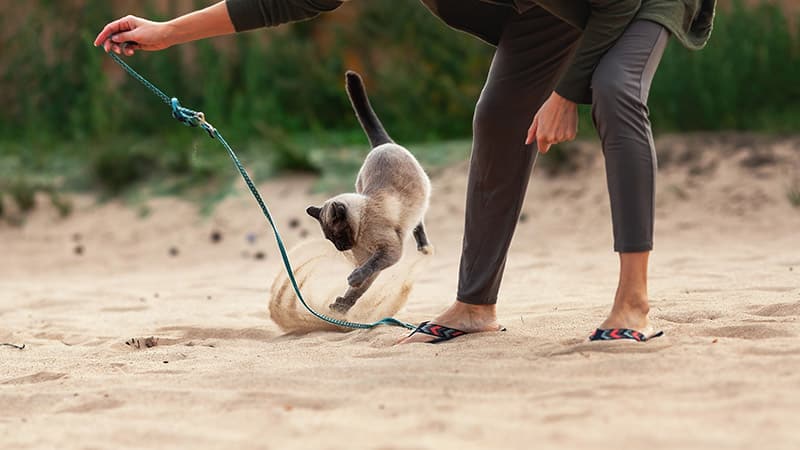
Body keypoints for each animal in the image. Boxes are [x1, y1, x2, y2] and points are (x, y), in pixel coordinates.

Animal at [306, 72, 432, 314]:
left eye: (336, 236)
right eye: (330, 239)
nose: (341, 248)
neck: (361, 236)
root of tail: (383, 145)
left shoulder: (388, 252)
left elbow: (368, 269)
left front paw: (352, 281)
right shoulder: (368, 258)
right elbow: (360, 289)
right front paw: (342, 306)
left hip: (419, 202)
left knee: (419, 222)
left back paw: (424, 247)